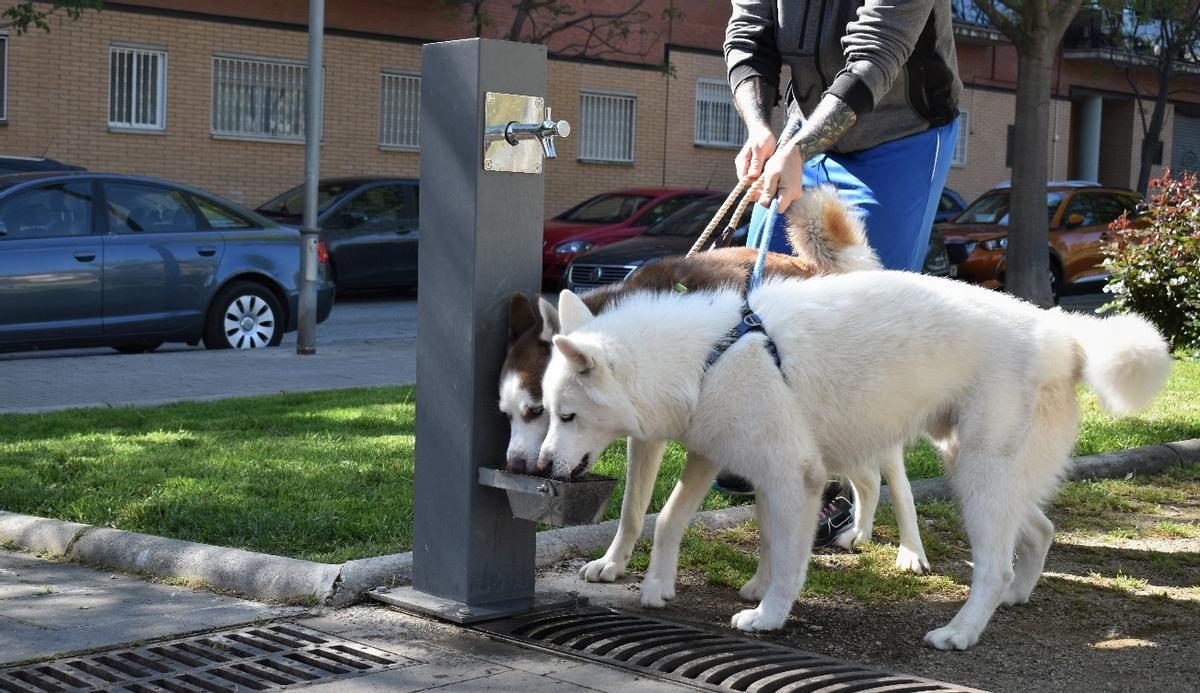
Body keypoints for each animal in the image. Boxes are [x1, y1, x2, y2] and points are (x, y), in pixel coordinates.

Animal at [537, 269, 1171, 647]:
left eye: (565, 417)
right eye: (544, 412)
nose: (540, 468)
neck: (709, 355)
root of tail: (1063, 331)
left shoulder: (793, 476)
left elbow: (788, 559)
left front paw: (769, 614)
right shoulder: (732, 463)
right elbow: (679, 520)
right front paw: (668, 585)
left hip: (977, 477)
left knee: (992, 564)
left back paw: (961, 631)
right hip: (985, 471)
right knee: (1037, 531)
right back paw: (1015, 596)